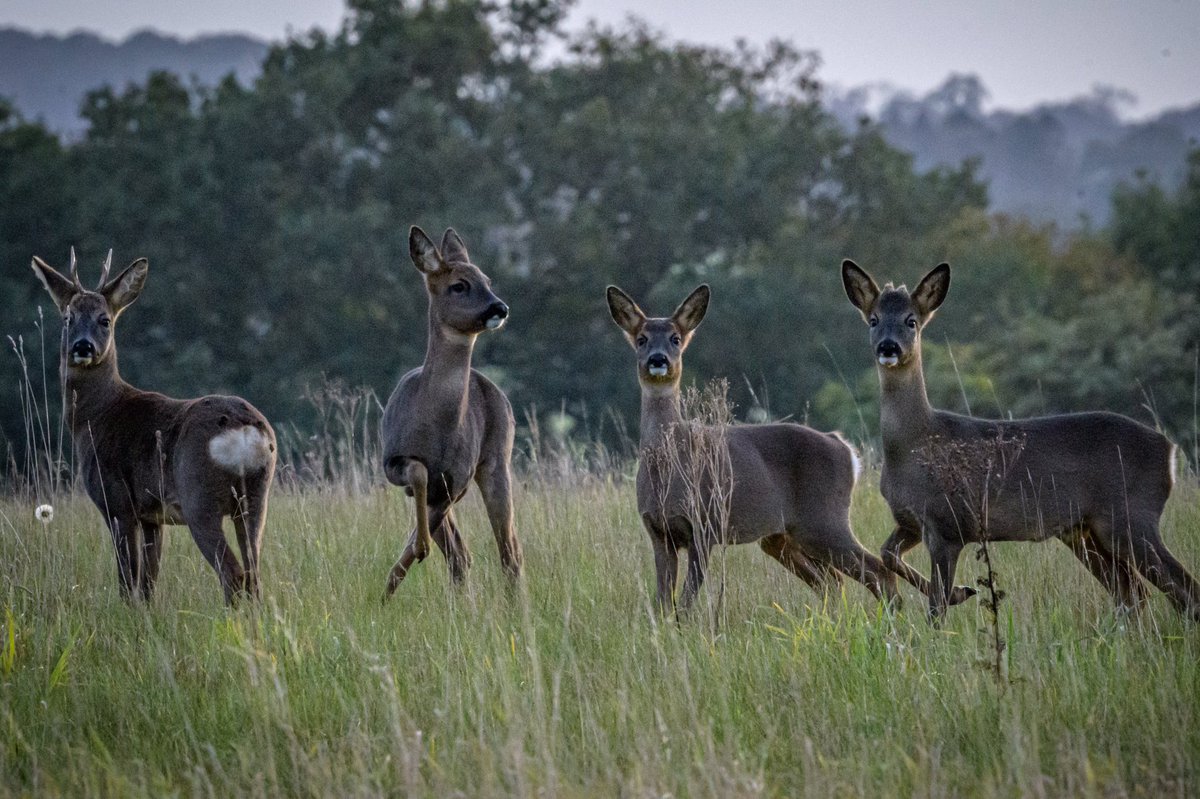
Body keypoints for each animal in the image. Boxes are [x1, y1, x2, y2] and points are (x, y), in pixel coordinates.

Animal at [31, 249, 276, 604]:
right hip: (256, 498)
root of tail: (245, 430)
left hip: (199, 497)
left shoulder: (117, 502)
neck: (96, 416)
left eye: (105, 320)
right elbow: (148, 583)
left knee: (233, 575)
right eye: (68, 317)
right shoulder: (152, 515)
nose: (83, 347)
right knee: (254, 575)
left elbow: (127, 579)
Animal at [380, 226, 521, 599]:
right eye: (459, 285)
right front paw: (390, 587)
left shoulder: (456, 482)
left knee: (508, 550)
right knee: (464, 555)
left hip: (497, 461)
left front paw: (416, 551)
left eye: (487, 279)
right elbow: (418, 474)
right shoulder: (395, 463)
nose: (499, 307)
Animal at [607, 283, 898, 614]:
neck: (667, 467)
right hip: (783, 536)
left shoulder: (705, 525)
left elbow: (686, 603)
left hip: (824, 519)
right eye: (641, 338)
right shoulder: (658, 532)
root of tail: (845, 448)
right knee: (832, 581)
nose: (658, 359)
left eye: (675, 338)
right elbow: (664, 604)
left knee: (876, 571)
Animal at [842, 259, 1199, 621]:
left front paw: (955, 596)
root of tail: (1169, 451)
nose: (888, 347)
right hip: (1086, 531)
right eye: (873, 319)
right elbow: (887, 553)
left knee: (1181, 590)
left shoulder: (948, 524)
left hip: (1132, 515)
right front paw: (963, 591)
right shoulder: (911, 522)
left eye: (911, 320)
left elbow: (935, 606)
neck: (914, 444)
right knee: (1134, 593)